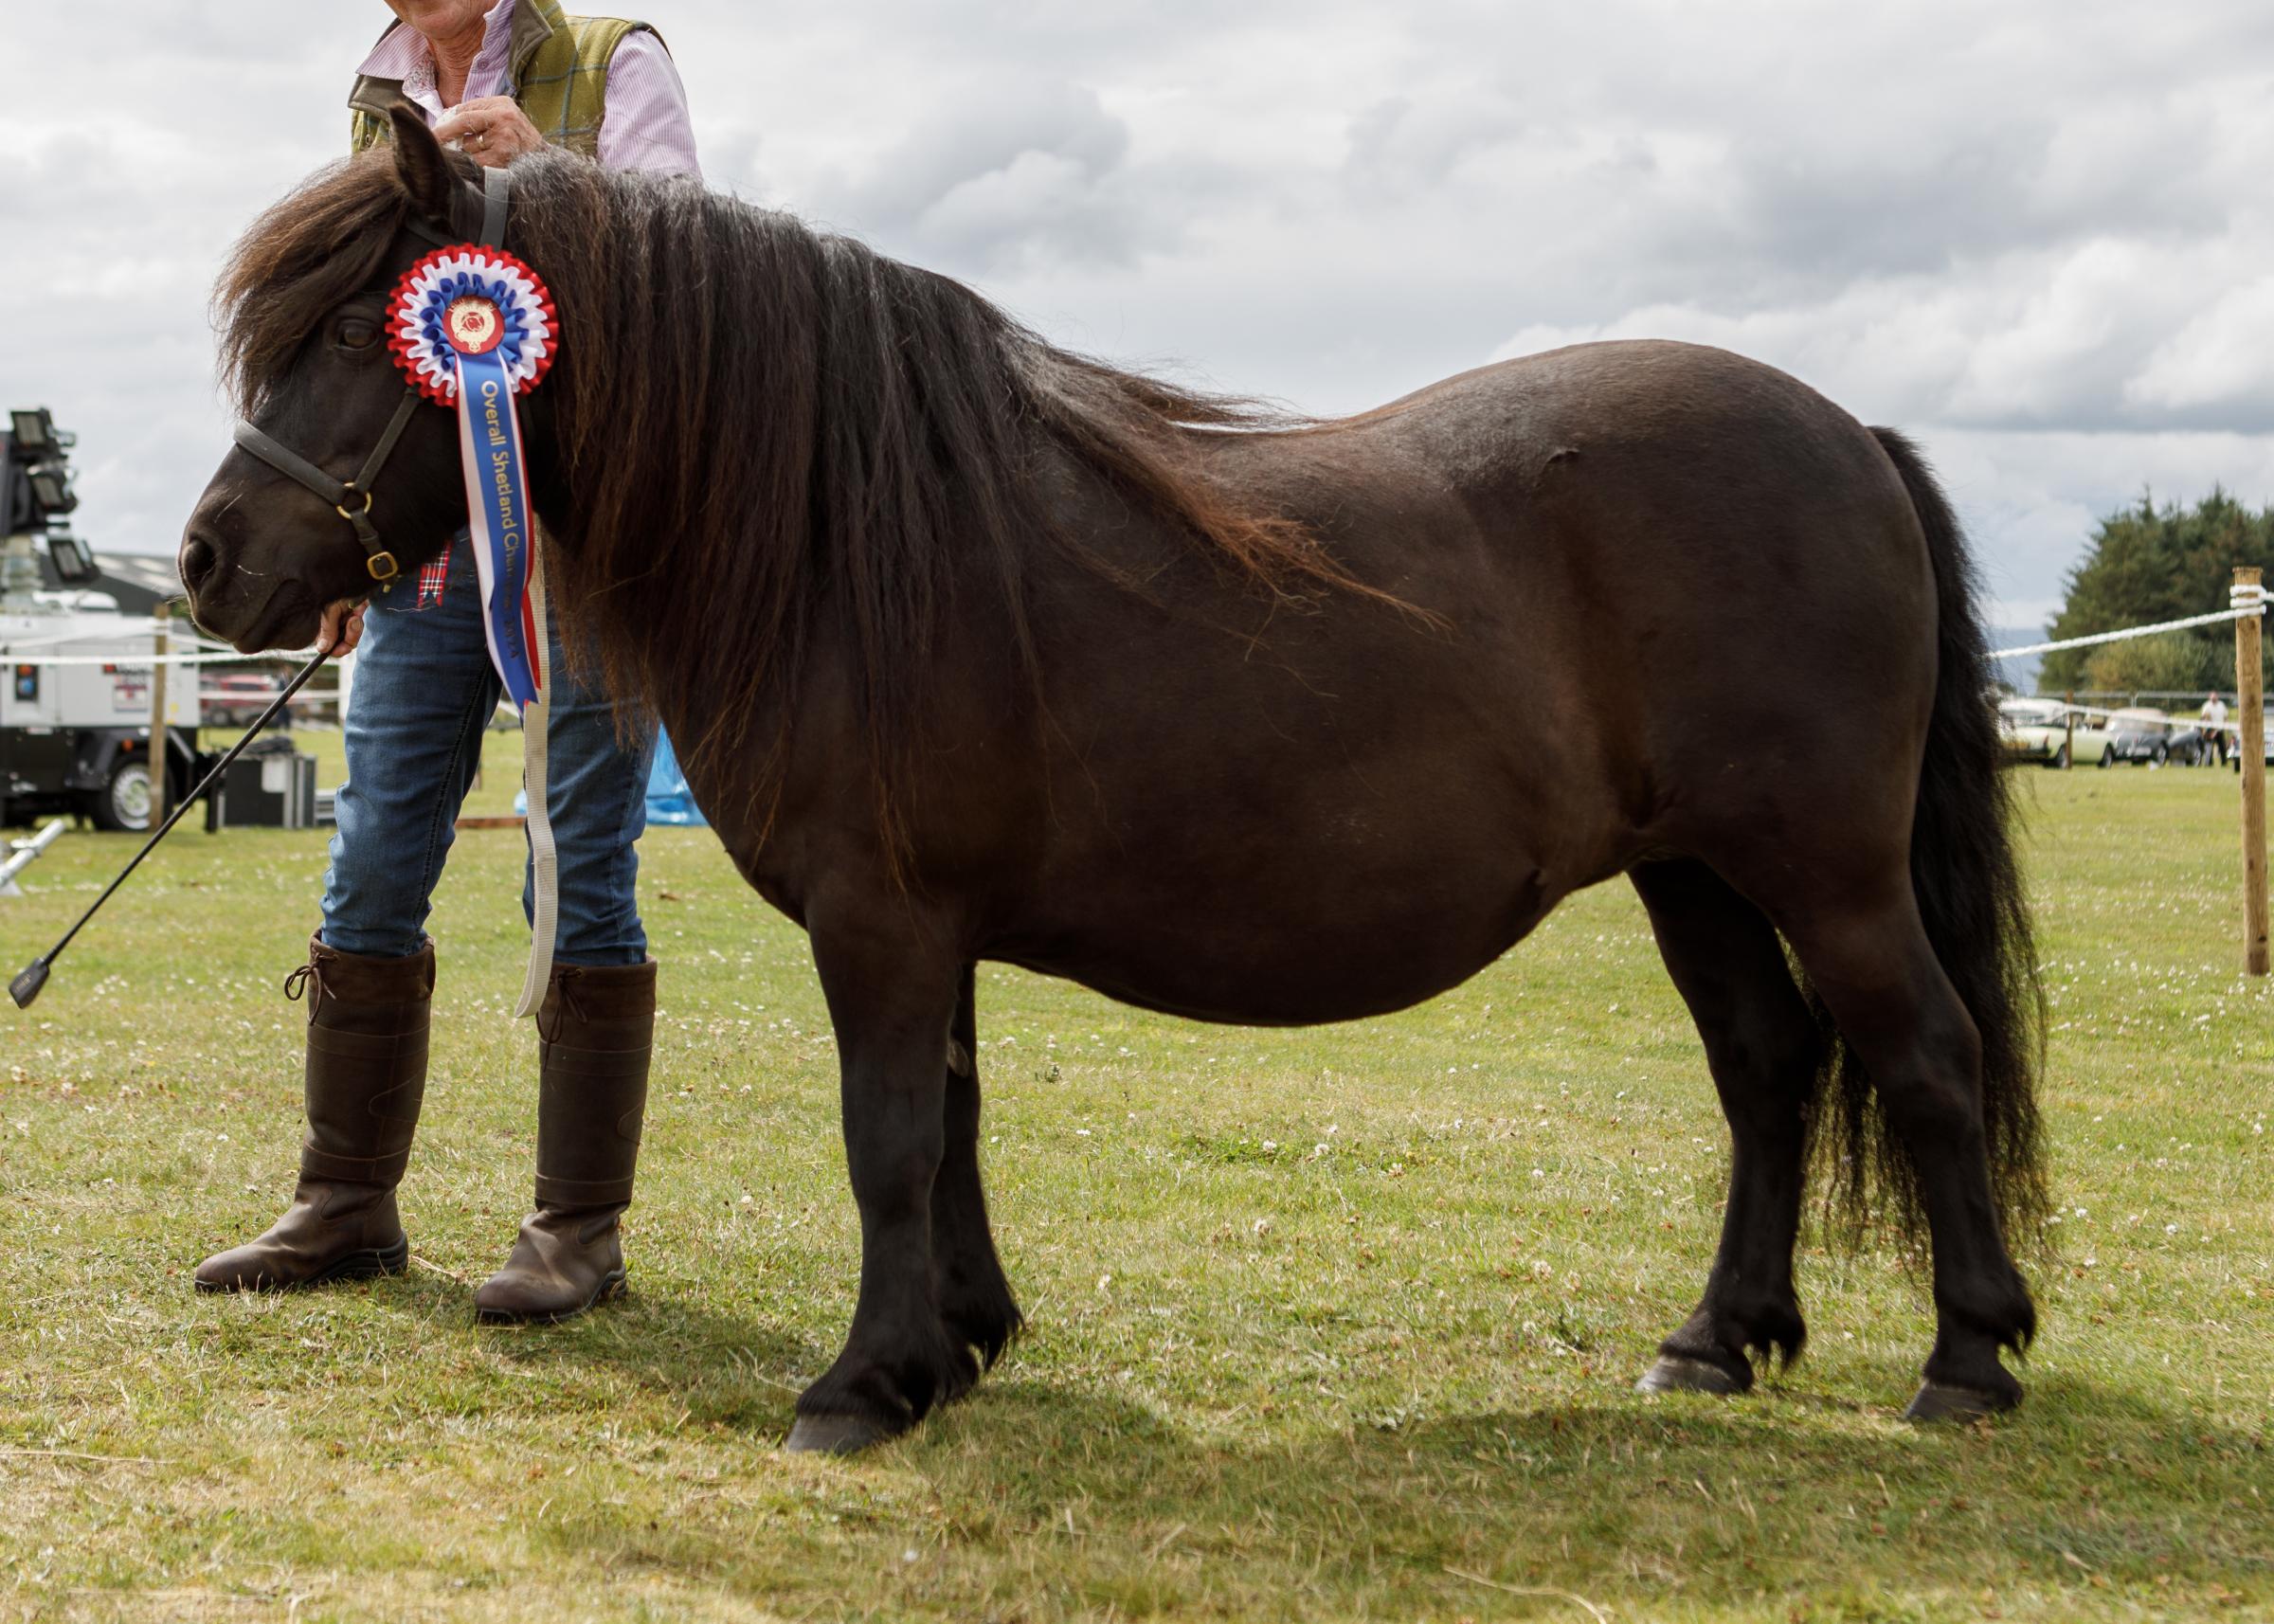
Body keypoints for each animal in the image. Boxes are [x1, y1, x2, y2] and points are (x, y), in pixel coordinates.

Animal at [186, 107, 2055, 1446]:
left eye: (355, 324)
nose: (211, 565)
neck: (848, 537)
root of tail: (1852, 436)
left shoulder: (880, 920)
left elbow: (885, 1135)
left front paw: (861, 1385)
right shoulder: (929, 928)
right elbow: (948, 1123)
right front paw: (954, 1346)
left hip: (1825, 867)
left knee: (1926, 1055)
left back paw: (1967, 1357)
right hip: (1698, 873)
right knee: (1767, 1071)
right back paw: (1715, 1340)